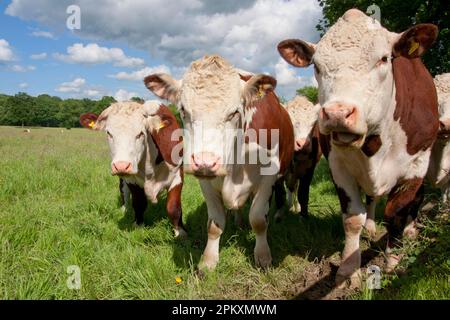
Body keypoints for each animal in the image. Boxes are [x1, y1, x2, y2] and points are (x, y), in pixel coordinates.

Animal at [79, 100, 186, 238]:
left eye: (141, 133)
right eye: (109, 133)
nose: (121, 165)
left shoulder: (177, 175)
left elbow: (173, 207)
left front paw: (180, 233)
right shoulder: (131, 180)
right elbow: (139, 203)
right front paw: (139, 226)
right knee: (123, 191)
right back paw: (125, 208)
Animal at [144, 54, 296, 270]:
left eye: (235, 112)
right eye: (183, 110)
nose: (205, 162)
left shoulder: (267, 179)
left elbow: (258, 220)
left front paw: (263, 257)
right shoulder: (206, 183)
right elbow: (214, 225)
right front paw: (208, 261)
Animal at [278, 8, 440, 286]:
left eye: (384, 59)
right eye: (316, 66)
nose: (337, 113)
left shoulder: (415, 165)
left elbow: (396, 213)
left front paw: (392, 261)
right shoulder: (338, 166)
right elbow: (353, 218)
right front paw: (348, 268)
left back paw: (403, 230)